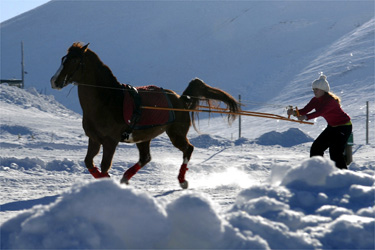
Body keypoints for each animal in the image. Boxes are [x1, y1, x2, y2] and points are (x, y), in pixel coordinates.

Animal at [50, 42, 241, 188]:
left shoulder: (110, 141)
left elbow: (104, 166)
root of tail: (181, 99)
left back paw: (182, 180)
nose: (54, 81)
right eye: (63, 59)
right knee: (146, 157)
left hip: (176, 134)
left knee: (188, 149)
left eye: (74, 60)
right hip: (144, 137)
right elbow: (89, 163)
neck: (108, 100)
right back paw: (125, 178)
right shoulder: (94, 139)